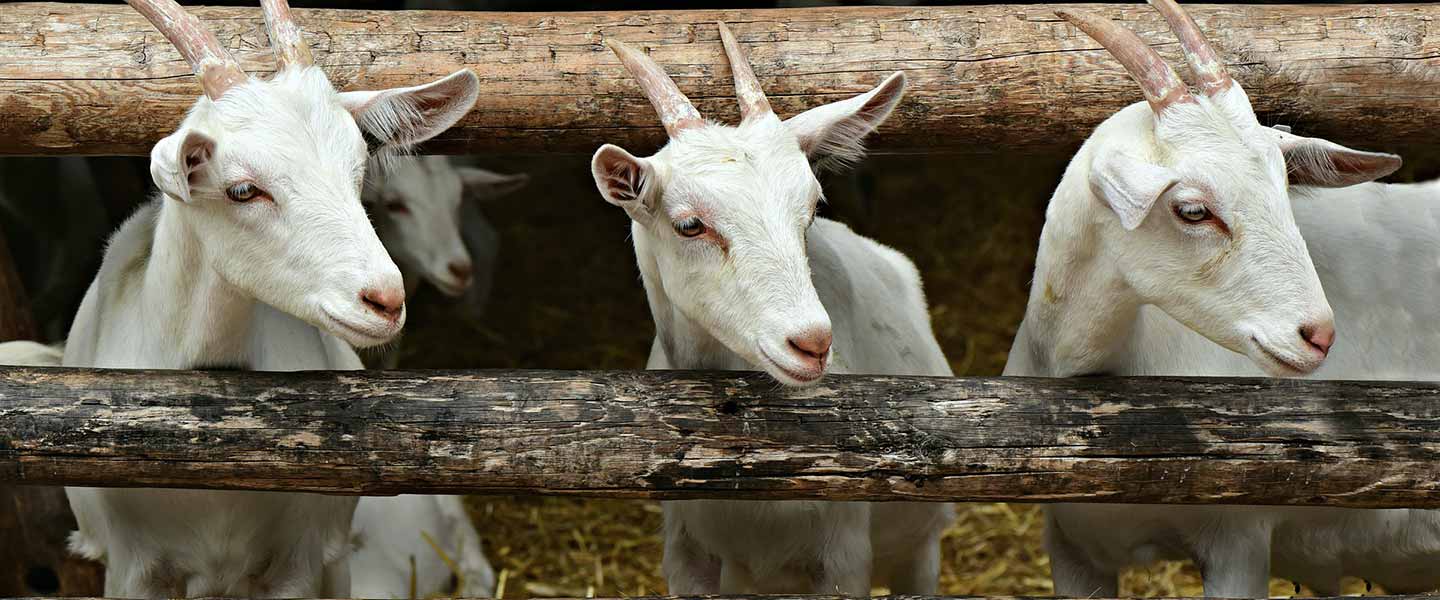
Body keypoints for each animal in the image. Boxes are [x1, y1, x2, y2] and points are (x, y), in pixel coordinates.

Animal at [596, 24, 956, 592]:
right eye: (689, 225)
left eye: (811, 207)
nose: (812, 342)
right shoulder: (686, 552)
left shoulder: (844, 556)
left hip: (921, 547)